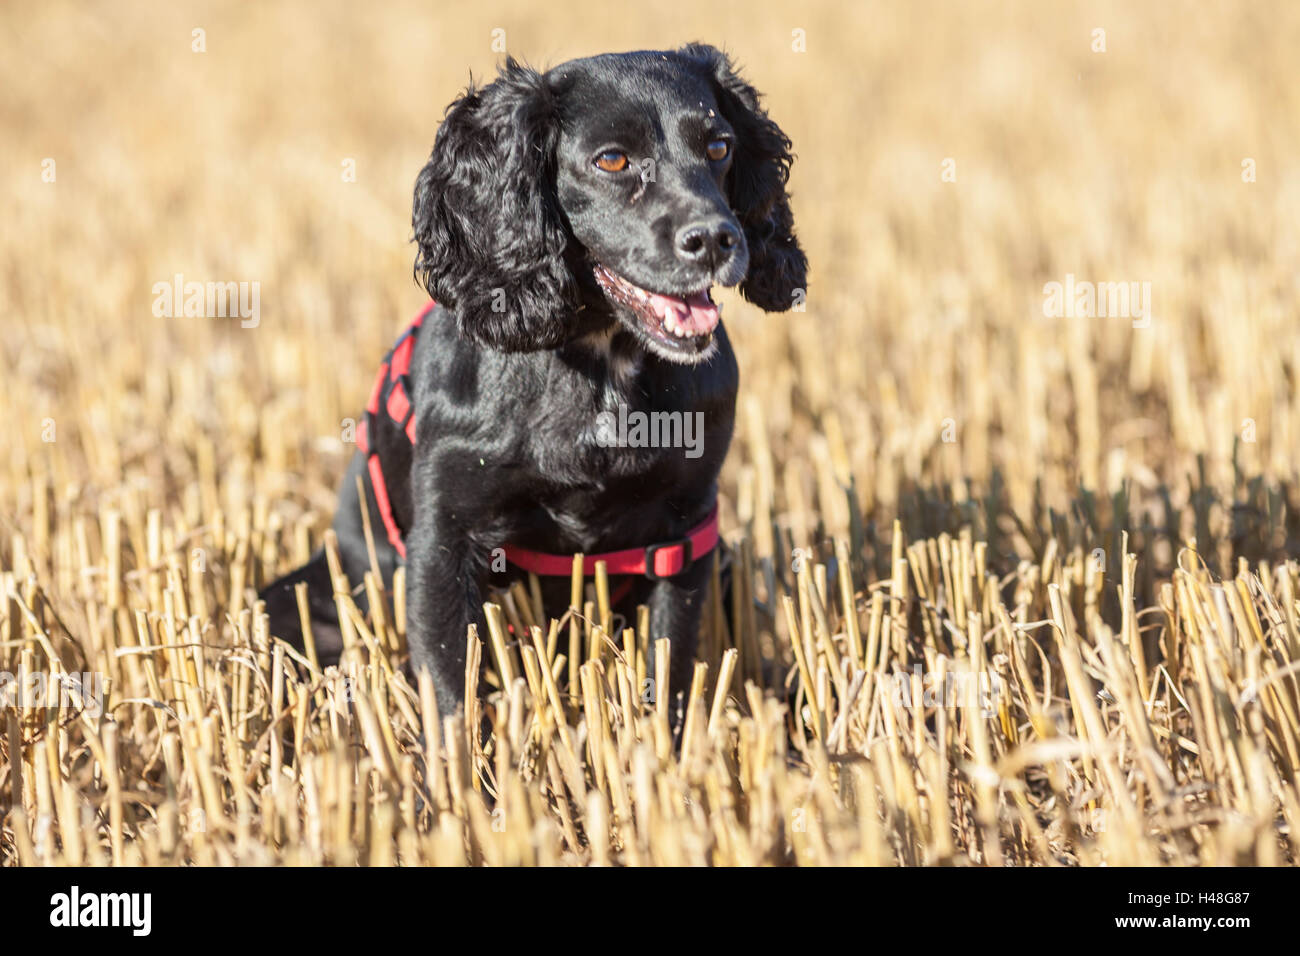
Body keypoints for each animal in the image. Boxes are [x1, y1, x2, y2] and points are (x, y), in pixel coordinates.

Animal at [257, 41, 800, 723]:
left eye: (720, 145)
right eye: (612, 159)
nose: (715, 239)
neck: (599, 365)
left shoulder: (687, 535)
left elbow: (671, 673)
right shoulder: (444, 541)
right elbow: (449, 693)